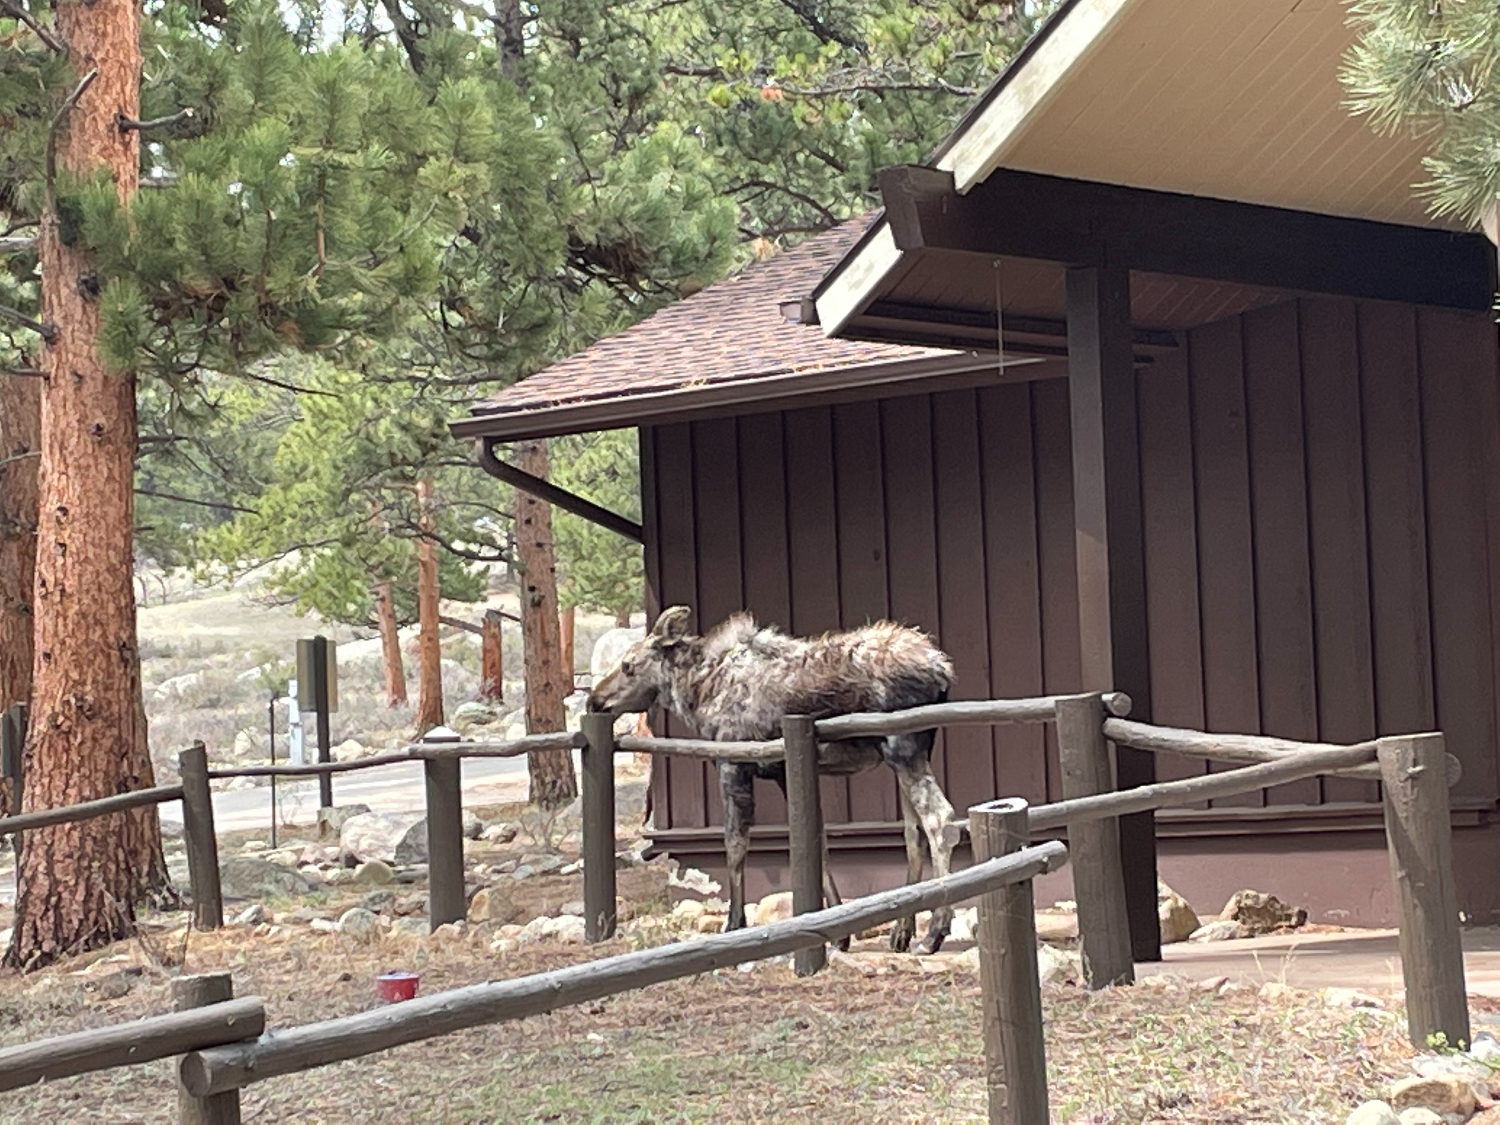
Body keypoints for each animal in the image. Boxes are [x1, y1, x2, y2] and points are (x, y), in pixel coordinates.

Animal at [585, 603, 960, 954]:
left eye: (628, 665)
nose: (595, 700)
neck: (698, 692)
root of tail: (942, 670)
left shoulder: (733, 764)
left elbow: (735, 844)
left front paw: (734, 924)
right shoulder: (785, 770)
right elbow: (815, 841)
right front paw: (837, 932)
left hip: (903, 749)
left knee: (940, 819)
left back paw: (935, 932)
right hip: (907, 754)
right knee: (914, 832)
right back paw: (903, 930)